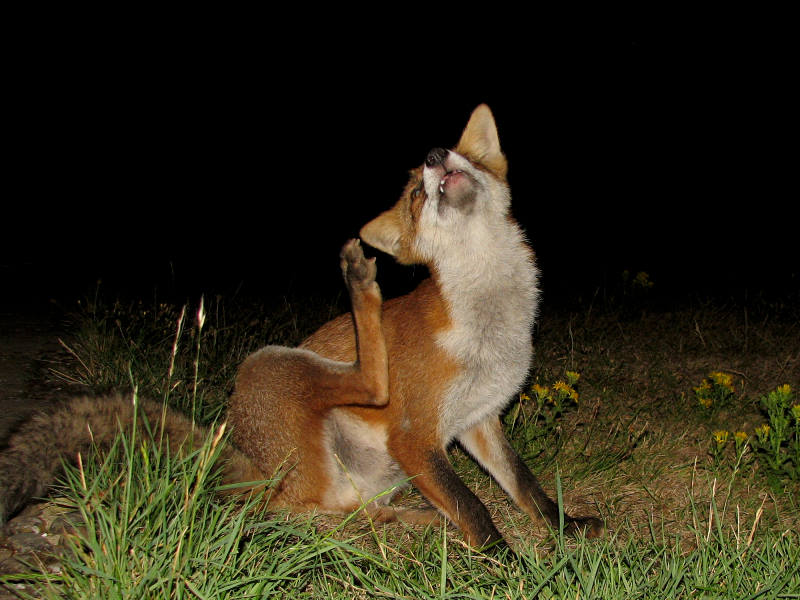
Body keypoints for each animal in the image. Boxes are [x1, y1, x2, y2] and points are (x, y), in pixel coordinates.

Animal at [0, 104, 600, 548]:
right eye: (415, 194)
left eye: (462, 158)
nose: (434, 155)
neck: (489, 318)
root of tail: (244, 461)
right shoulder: (414, 433)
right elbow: (473, 506)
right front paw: (505, 561)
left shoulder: (478, 420)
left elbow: (525, 486)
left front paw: (563, 529)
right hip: (276, 363)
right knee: (363, 399)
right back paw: (361, 288)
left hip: (369, 482)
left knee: (338, 516)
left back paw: (413, 522)